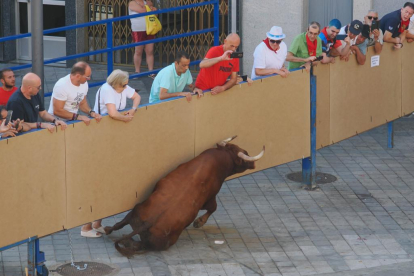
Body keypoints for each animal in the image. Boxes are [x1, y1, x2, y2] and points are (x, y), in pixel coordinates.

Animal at [104, 136, 266, 256]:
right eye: (243, 155)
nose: (252, 164)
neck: (219, 158)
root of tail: (147, 223)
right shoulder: (211, 197)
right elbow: (213, 208)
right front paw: (198, 222)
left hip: (134, 211)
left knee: (119, 225)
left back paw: (109, 231)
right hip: (161, 242)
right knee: (138, 246)